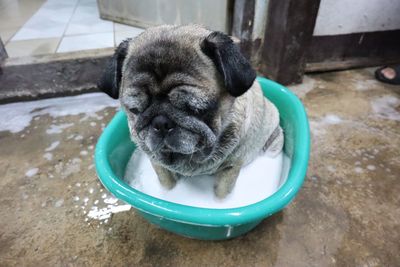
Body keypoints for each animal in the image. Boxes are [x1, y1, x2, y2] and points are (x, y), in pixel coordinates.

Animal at [98, 24, 282, 199]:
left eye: (197, 109)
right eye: (135, 110)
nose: (161, 122)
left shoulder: (231, 167)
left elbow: (221, 193)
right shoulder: (157, 163)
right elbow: (167, 183)